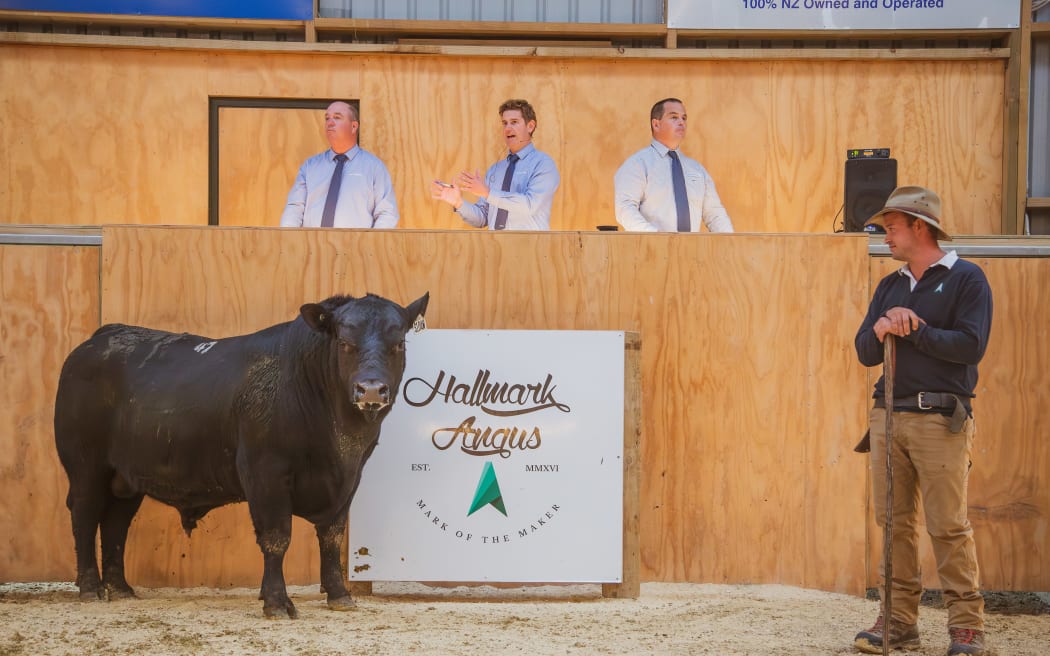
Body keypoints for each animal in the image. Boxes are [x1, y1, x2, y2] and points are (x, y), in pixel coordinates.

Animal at [52, 289, 430, 617]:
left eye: (398, 343)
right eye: (344, 343)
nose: (371, 390)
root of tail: (100, 338)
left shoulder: (348, 480)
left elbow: (331, 537)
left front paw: (339, 595)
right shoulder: (265, 473)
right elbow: (276, 538)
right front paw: (276, 601)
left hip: (126, 478)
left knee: (116, 523)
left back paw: (120, 588)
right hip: (85, 466)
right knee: (85, 515)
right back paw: (91, 588)